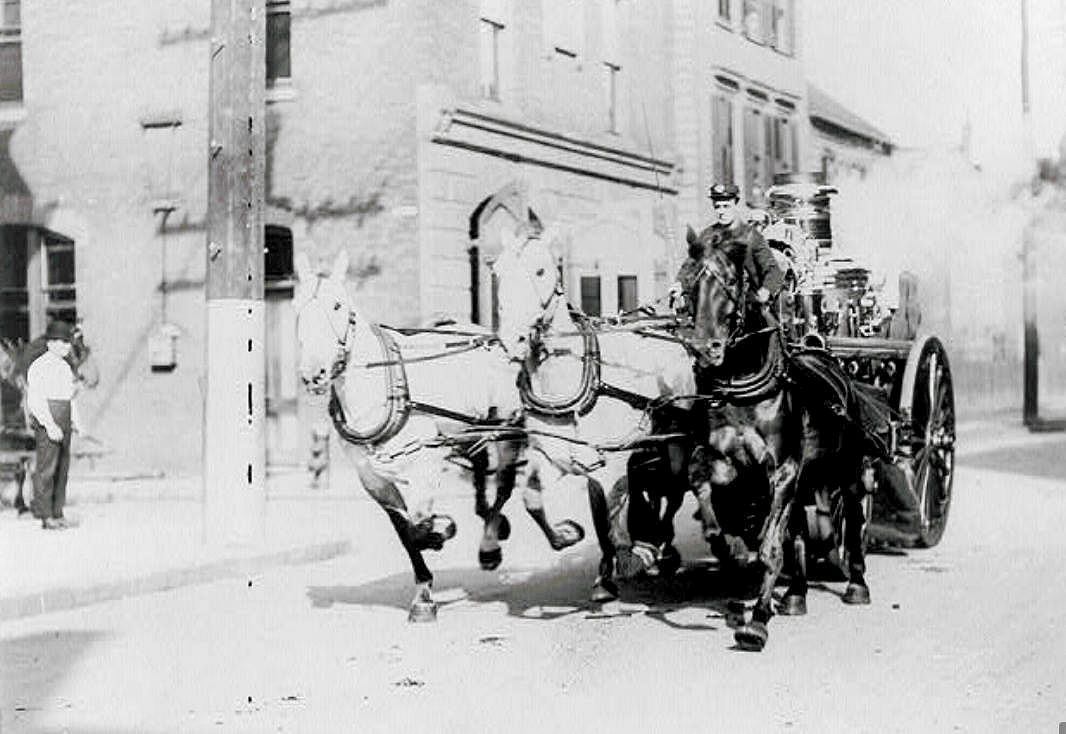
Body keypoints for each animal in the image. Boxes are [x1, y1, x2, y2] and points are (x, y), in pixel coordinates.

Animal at [294, 250, 526, 617]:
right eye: (296, 306)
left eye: (337, 305)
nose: (313, 374)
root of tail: (486, 336)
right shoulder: (372, 479)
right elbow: (405, 531)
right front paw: (423, 590)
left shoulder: (425, 465)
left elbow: (418, 523)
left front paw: (441, 532)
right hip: (470, 429)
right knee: (480, 469)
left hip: (507, 429)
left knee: (504, 485)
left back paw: (490, 542)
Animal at [490, 229, 699, 600]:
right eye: (497, 272)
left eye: (542, 270)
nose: (511, 340)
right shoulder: (554, 456)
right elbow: (535, 500)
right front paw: (570, 537)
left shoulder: (613, 462)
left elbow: (614, 521)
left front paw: (632, 558)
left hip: (676, 440)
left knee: (674, 488)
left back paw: (659, 544)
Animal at [690, 242, 874, 651]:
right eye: (691, 283)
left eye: (730, 282)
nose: (704, 349)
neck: (747, 391)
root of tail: (823, 354)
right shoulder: (732, 464)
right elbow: (700, 476)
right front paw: (723, 542)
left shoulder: (783, 469)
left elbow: (771, 545)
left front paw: (756, 622)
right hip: (805, 477)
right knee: (800, 528)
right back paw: (795, 594)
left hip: (848, 467)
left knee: (853, 516)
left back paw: (857, 584)